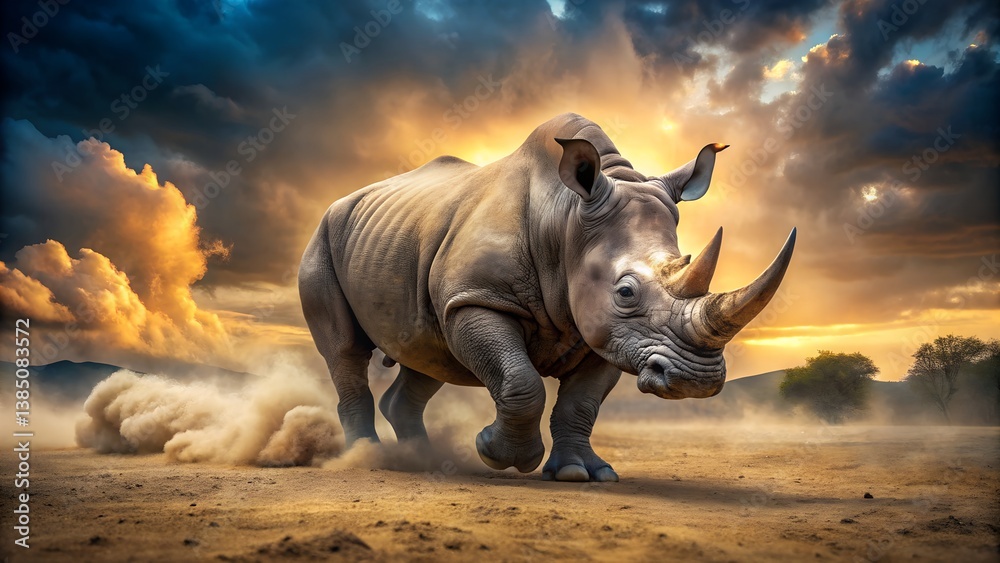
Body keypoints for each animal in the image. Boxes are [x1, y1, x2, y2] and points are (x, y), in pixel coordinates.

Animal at [299, 113, 795, 481]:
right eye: (626, 291)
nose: (698, 380)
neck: (567, 219)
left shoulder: (609, 333)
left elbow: (582, 403)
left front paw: (582, 473)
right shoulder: (479, 297)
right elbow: (521, 381)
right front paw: (499, 455)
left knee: (428, 354)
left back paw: (423, 460)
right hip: (323, 237)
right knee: (346, 351)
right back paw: (368, 457)